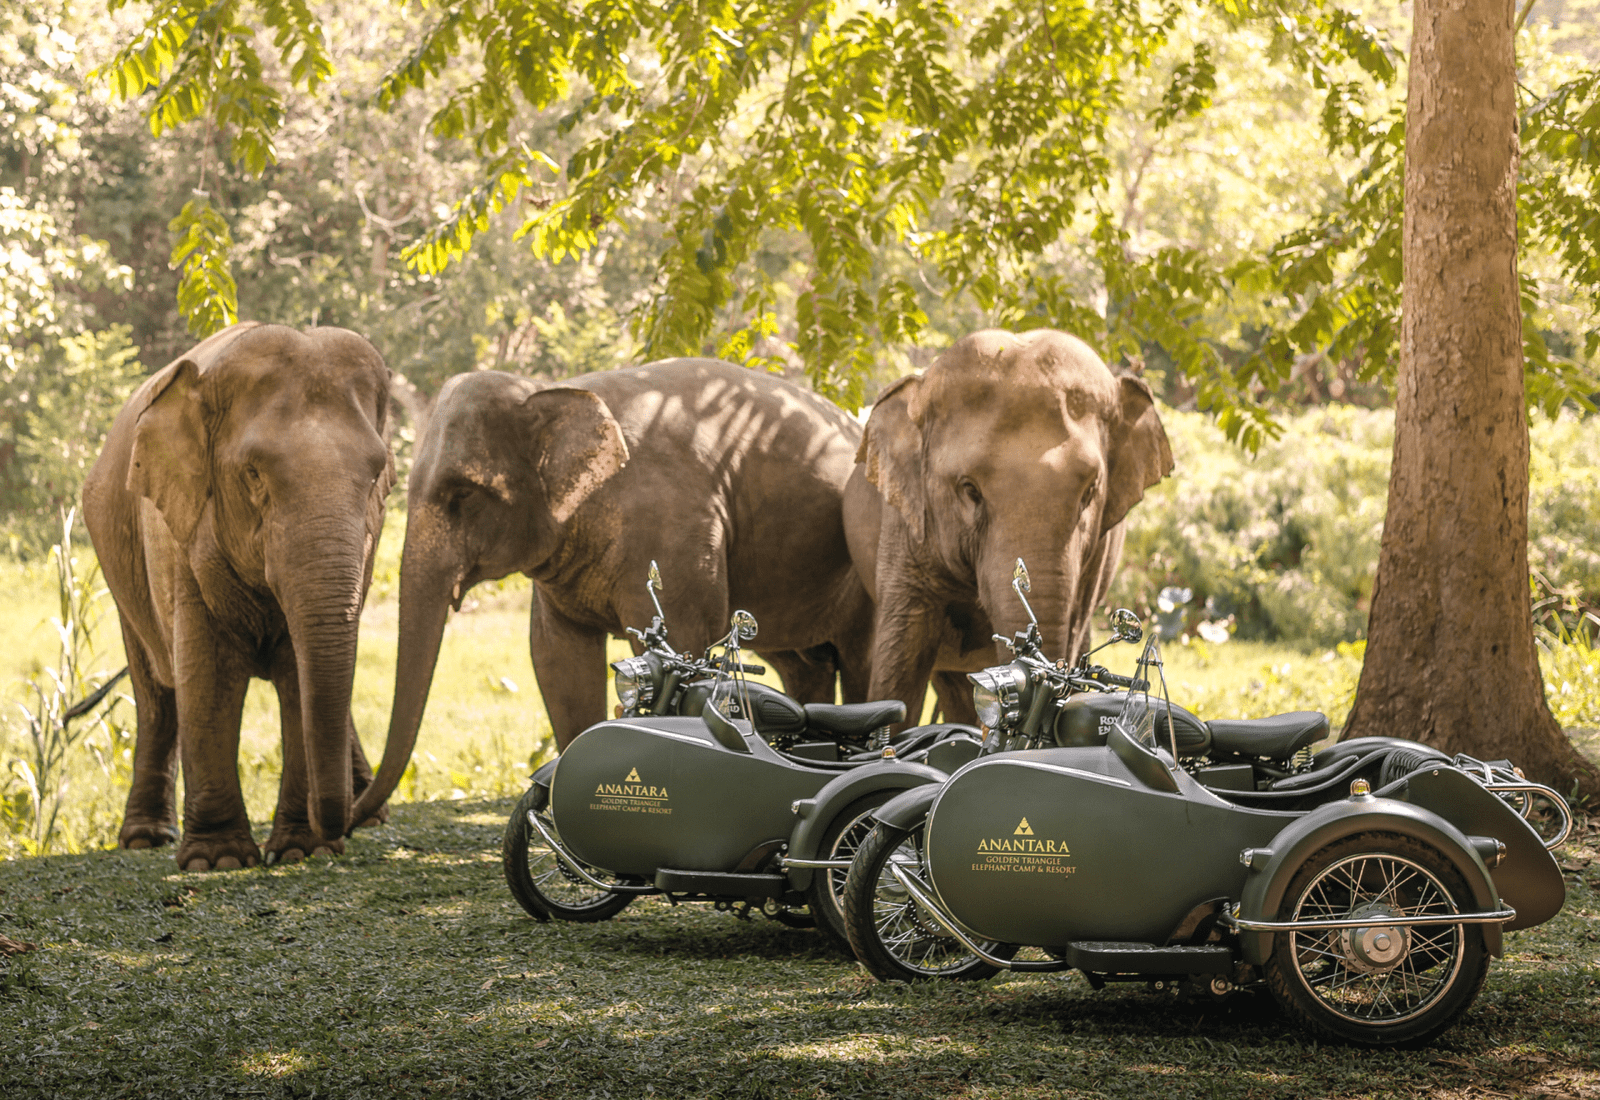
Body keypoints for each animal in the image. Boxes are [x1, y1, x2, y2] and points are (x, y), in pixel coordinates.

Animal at [82, 322, 397, 871]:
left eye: (377, 474)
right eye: (253, 474)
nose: (336, 827)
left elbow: (300, 671)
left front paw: (299, 851)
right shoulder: (177, 534)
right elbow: (205, 673)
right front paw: (220, 861)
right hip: (119, 561)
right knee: (156, 692)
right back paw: (145, 839)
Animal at [347, 358, 875, 825]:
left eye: (463, 496)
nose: (355, 818)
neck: (553, 388)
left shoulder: (676, 532)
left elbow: (680, 638)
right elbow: (556, 660)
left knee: (860, 659)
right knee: (802, 665)